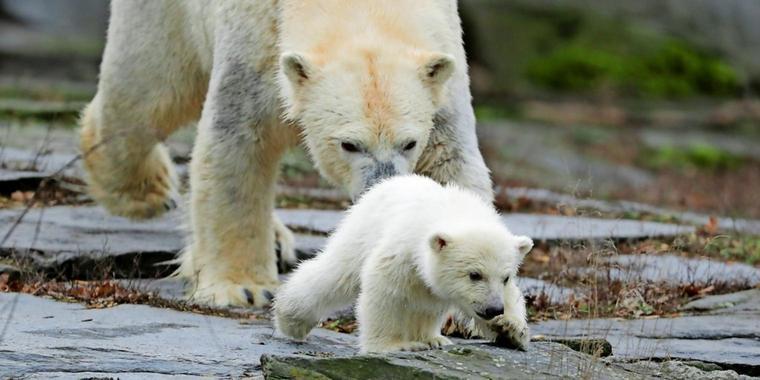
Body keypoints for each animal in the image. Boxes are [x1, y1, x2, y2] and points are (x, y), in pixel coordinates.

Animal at [78, 0, 492, 308]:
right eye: (349, 144)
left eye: (409, 143)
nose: (381, 190)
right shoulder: (257, 45)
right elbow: (238, 147)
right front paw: (243, 288)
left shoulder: (443, 81)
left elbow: (450, 164)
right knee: (147, 95)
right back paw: (146, 189)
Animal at [274, 176, 536, 354]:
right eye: (474, 275)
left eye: (505, 277)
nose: (494, 309)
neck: (456, 213)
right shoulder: (404, 248)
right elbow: (383, 288)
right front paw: (394, 345)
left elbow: (512, 296)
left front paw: (510, 329)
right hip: (363, 230)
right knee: (336, 273)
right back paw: (291, 319)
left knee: (427, 304)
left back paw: (432, 338)